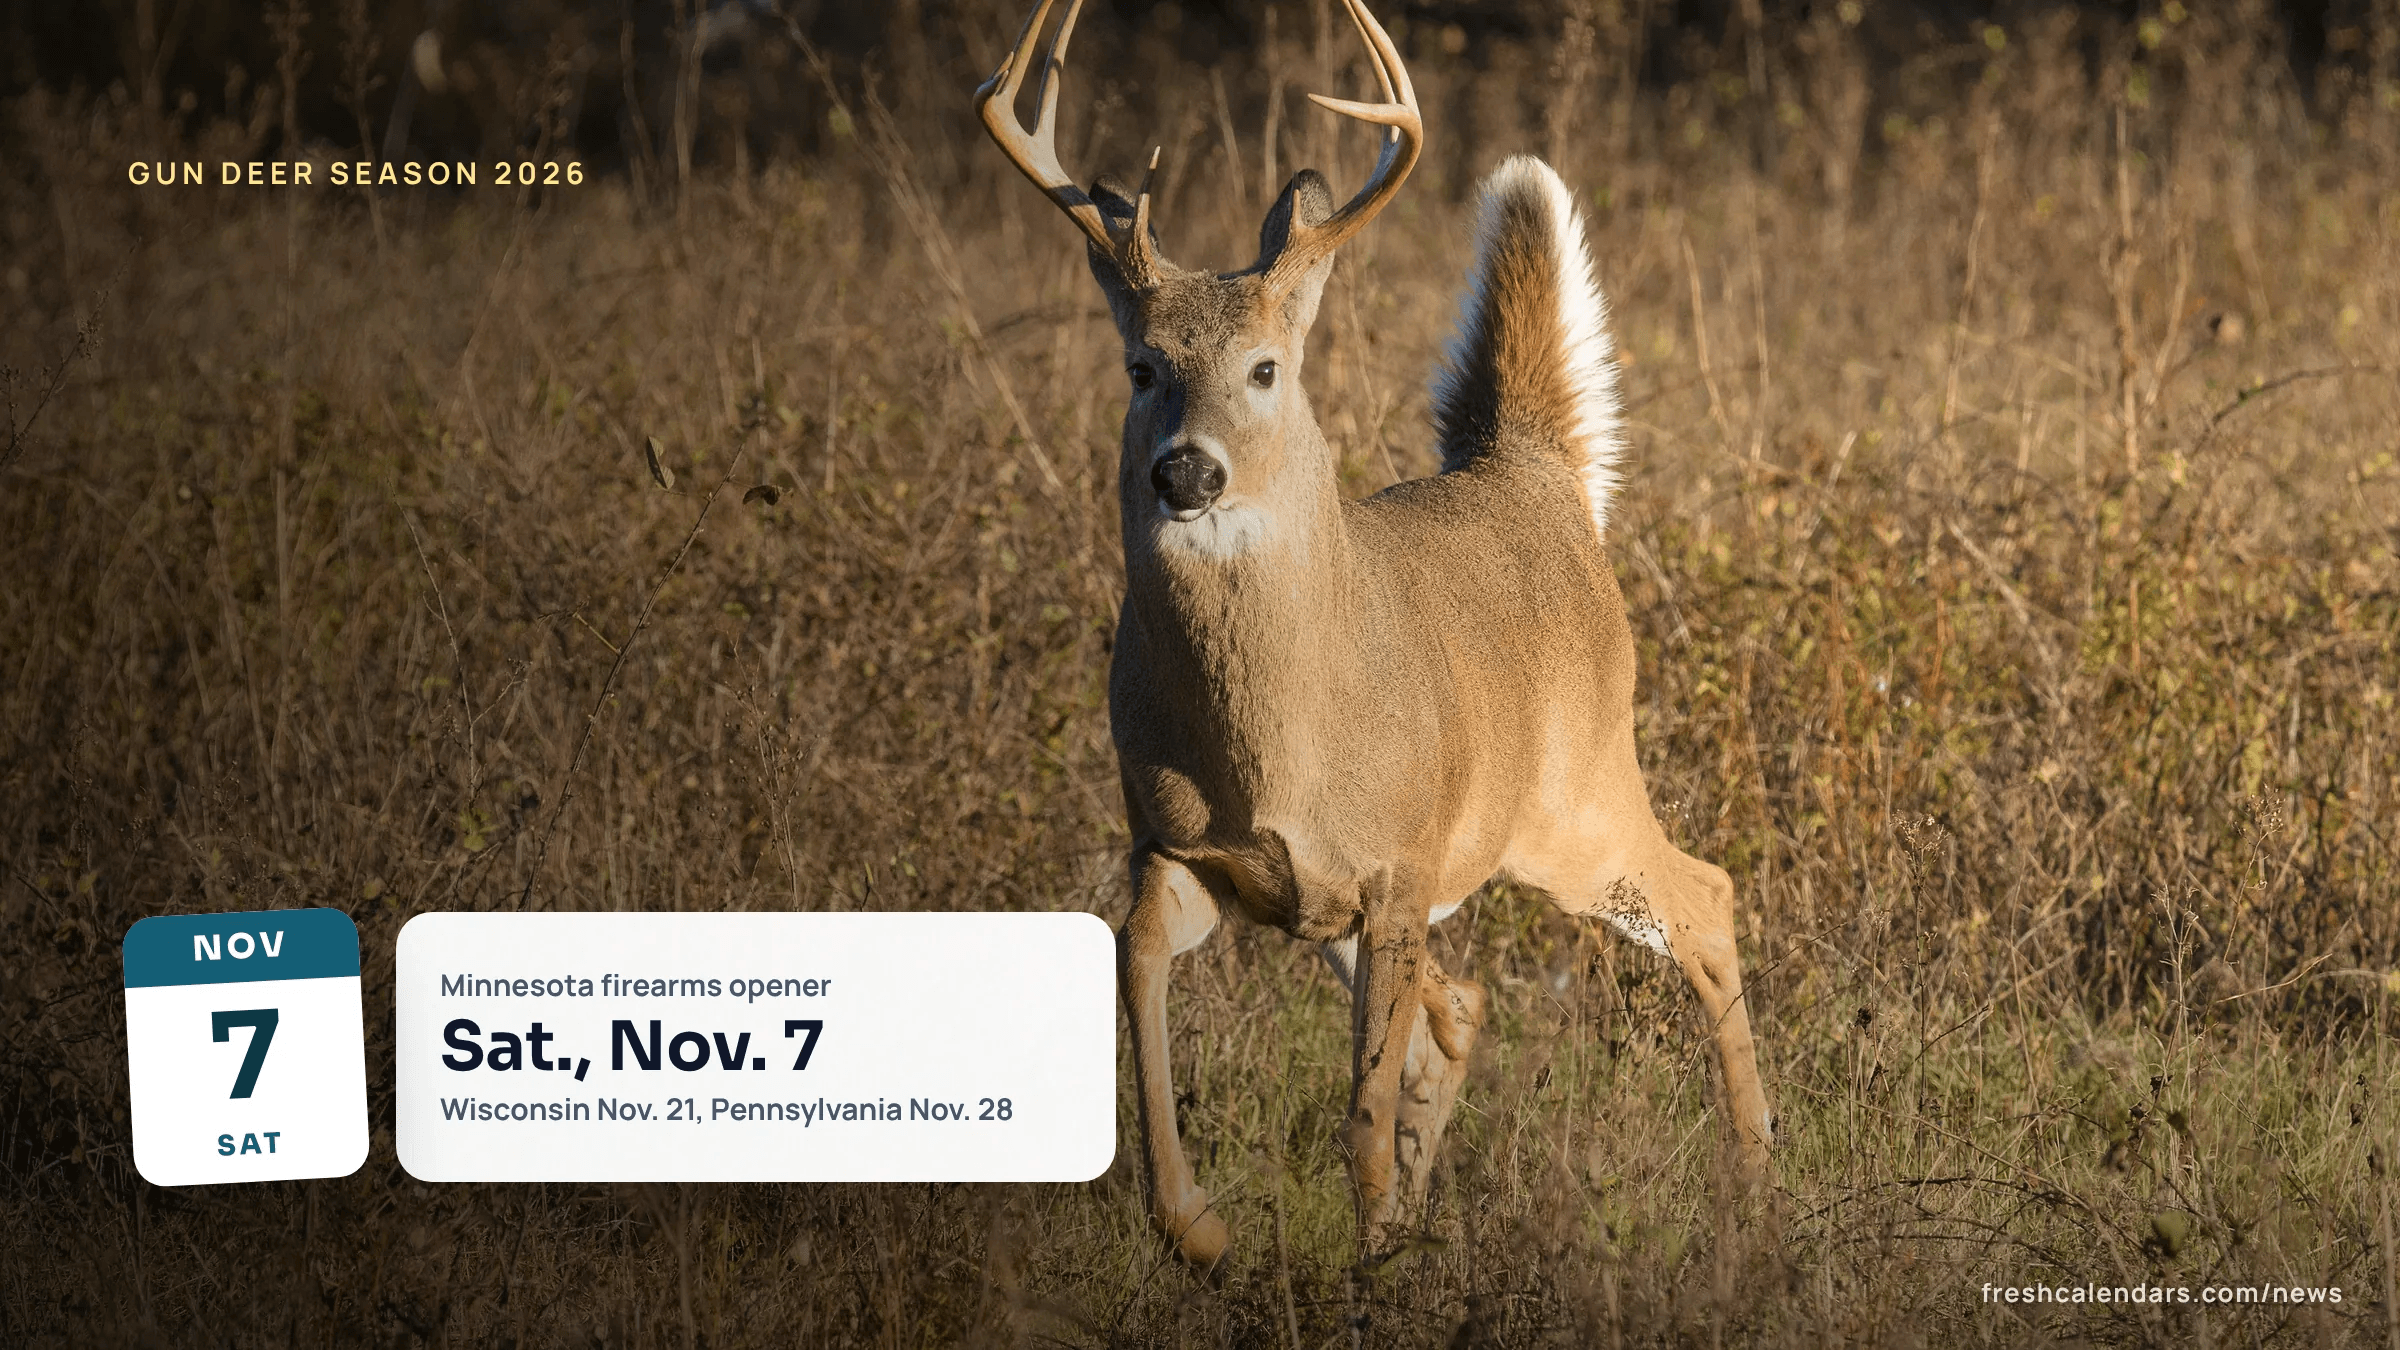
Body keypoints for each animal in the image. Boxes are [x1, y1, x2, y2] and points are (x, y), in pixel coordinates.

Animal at [975, 0, 1774, 1268]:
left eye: (1266, 367)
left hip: (1575, 796)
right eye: (1141, 366)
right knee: (1466, 1006)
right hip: (1401, 889)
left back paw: (1753, 1192)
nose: (1186, 472)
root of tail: (1538, 473)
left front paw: (1365, 1263)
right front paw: (1202, 1229)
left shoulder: (1398, 866)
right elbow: (1135, 968)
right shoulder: (1180, 849)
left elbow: (1358, 1113)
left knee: (1704, 898)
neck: (1273, 747)